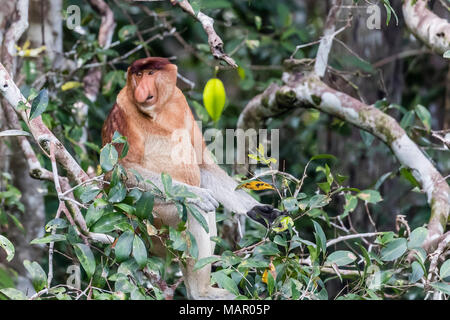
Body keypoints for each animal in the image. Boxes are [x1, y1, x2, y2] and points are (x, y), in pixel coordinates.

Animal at [101, 57, 282, 300]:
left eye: (150, 73)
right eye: (137, 75)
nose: (140, 90)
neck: (158, 111)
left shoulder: (180, 101)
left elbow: (202, 165)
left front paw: (259, 211)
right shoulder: (122, 114)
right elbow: (119, 171)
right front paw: (197, 195)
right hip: (150, 222)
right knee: (196, 212)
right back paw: (201, 291)